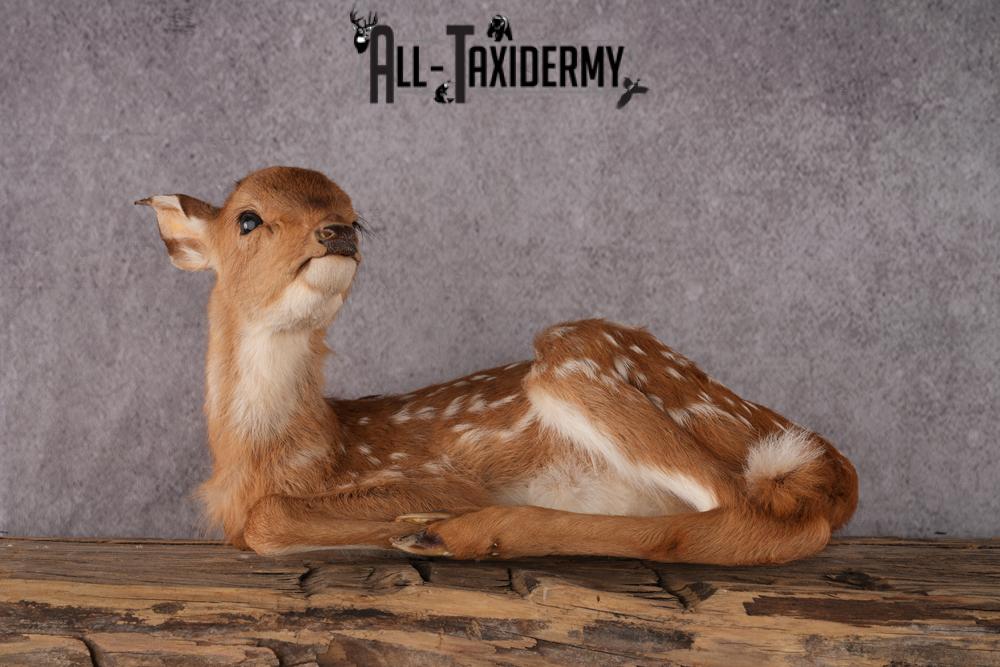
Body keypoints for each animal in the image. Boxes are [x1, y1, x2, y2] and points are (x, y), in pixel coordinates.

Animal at [136, 166, 858, 564]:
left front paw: (405, 525)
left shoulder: (435, 476)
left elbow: (266, 519)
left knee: (754, 517)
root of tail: (830, 459)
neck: (285, 453)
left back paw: (450, 533)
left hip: (573, 359)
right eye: (248, 219)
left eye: (354, 214)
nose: (337, 231)